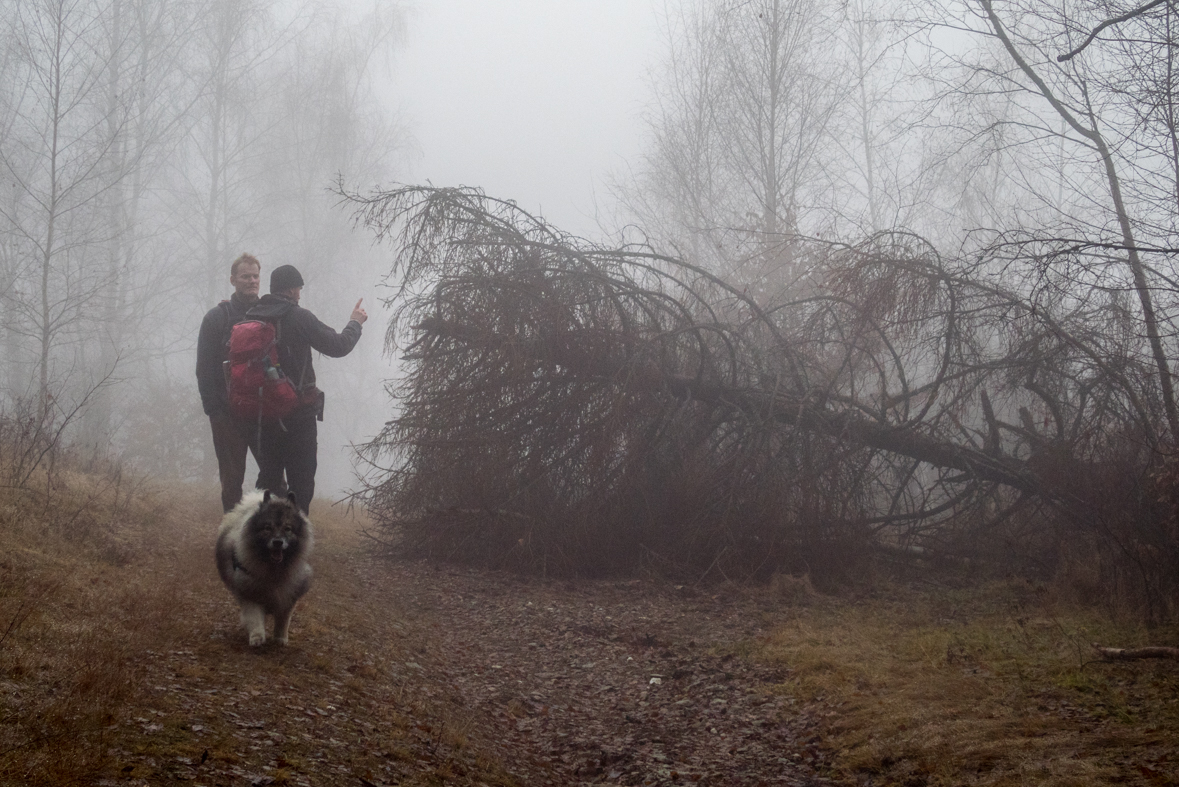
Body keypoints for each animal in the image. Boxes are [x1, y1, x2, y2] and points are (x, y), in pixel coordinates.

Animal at [214, 492, 311, 645]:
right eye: (267, 528)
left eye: (288, 529)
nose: (278, 542)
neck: (273, 569)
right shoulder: (250, 592)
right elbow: (254, 617)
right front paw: (257, 637)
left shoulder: (288, 596)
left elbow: (283, 621)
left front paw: (280, 638)